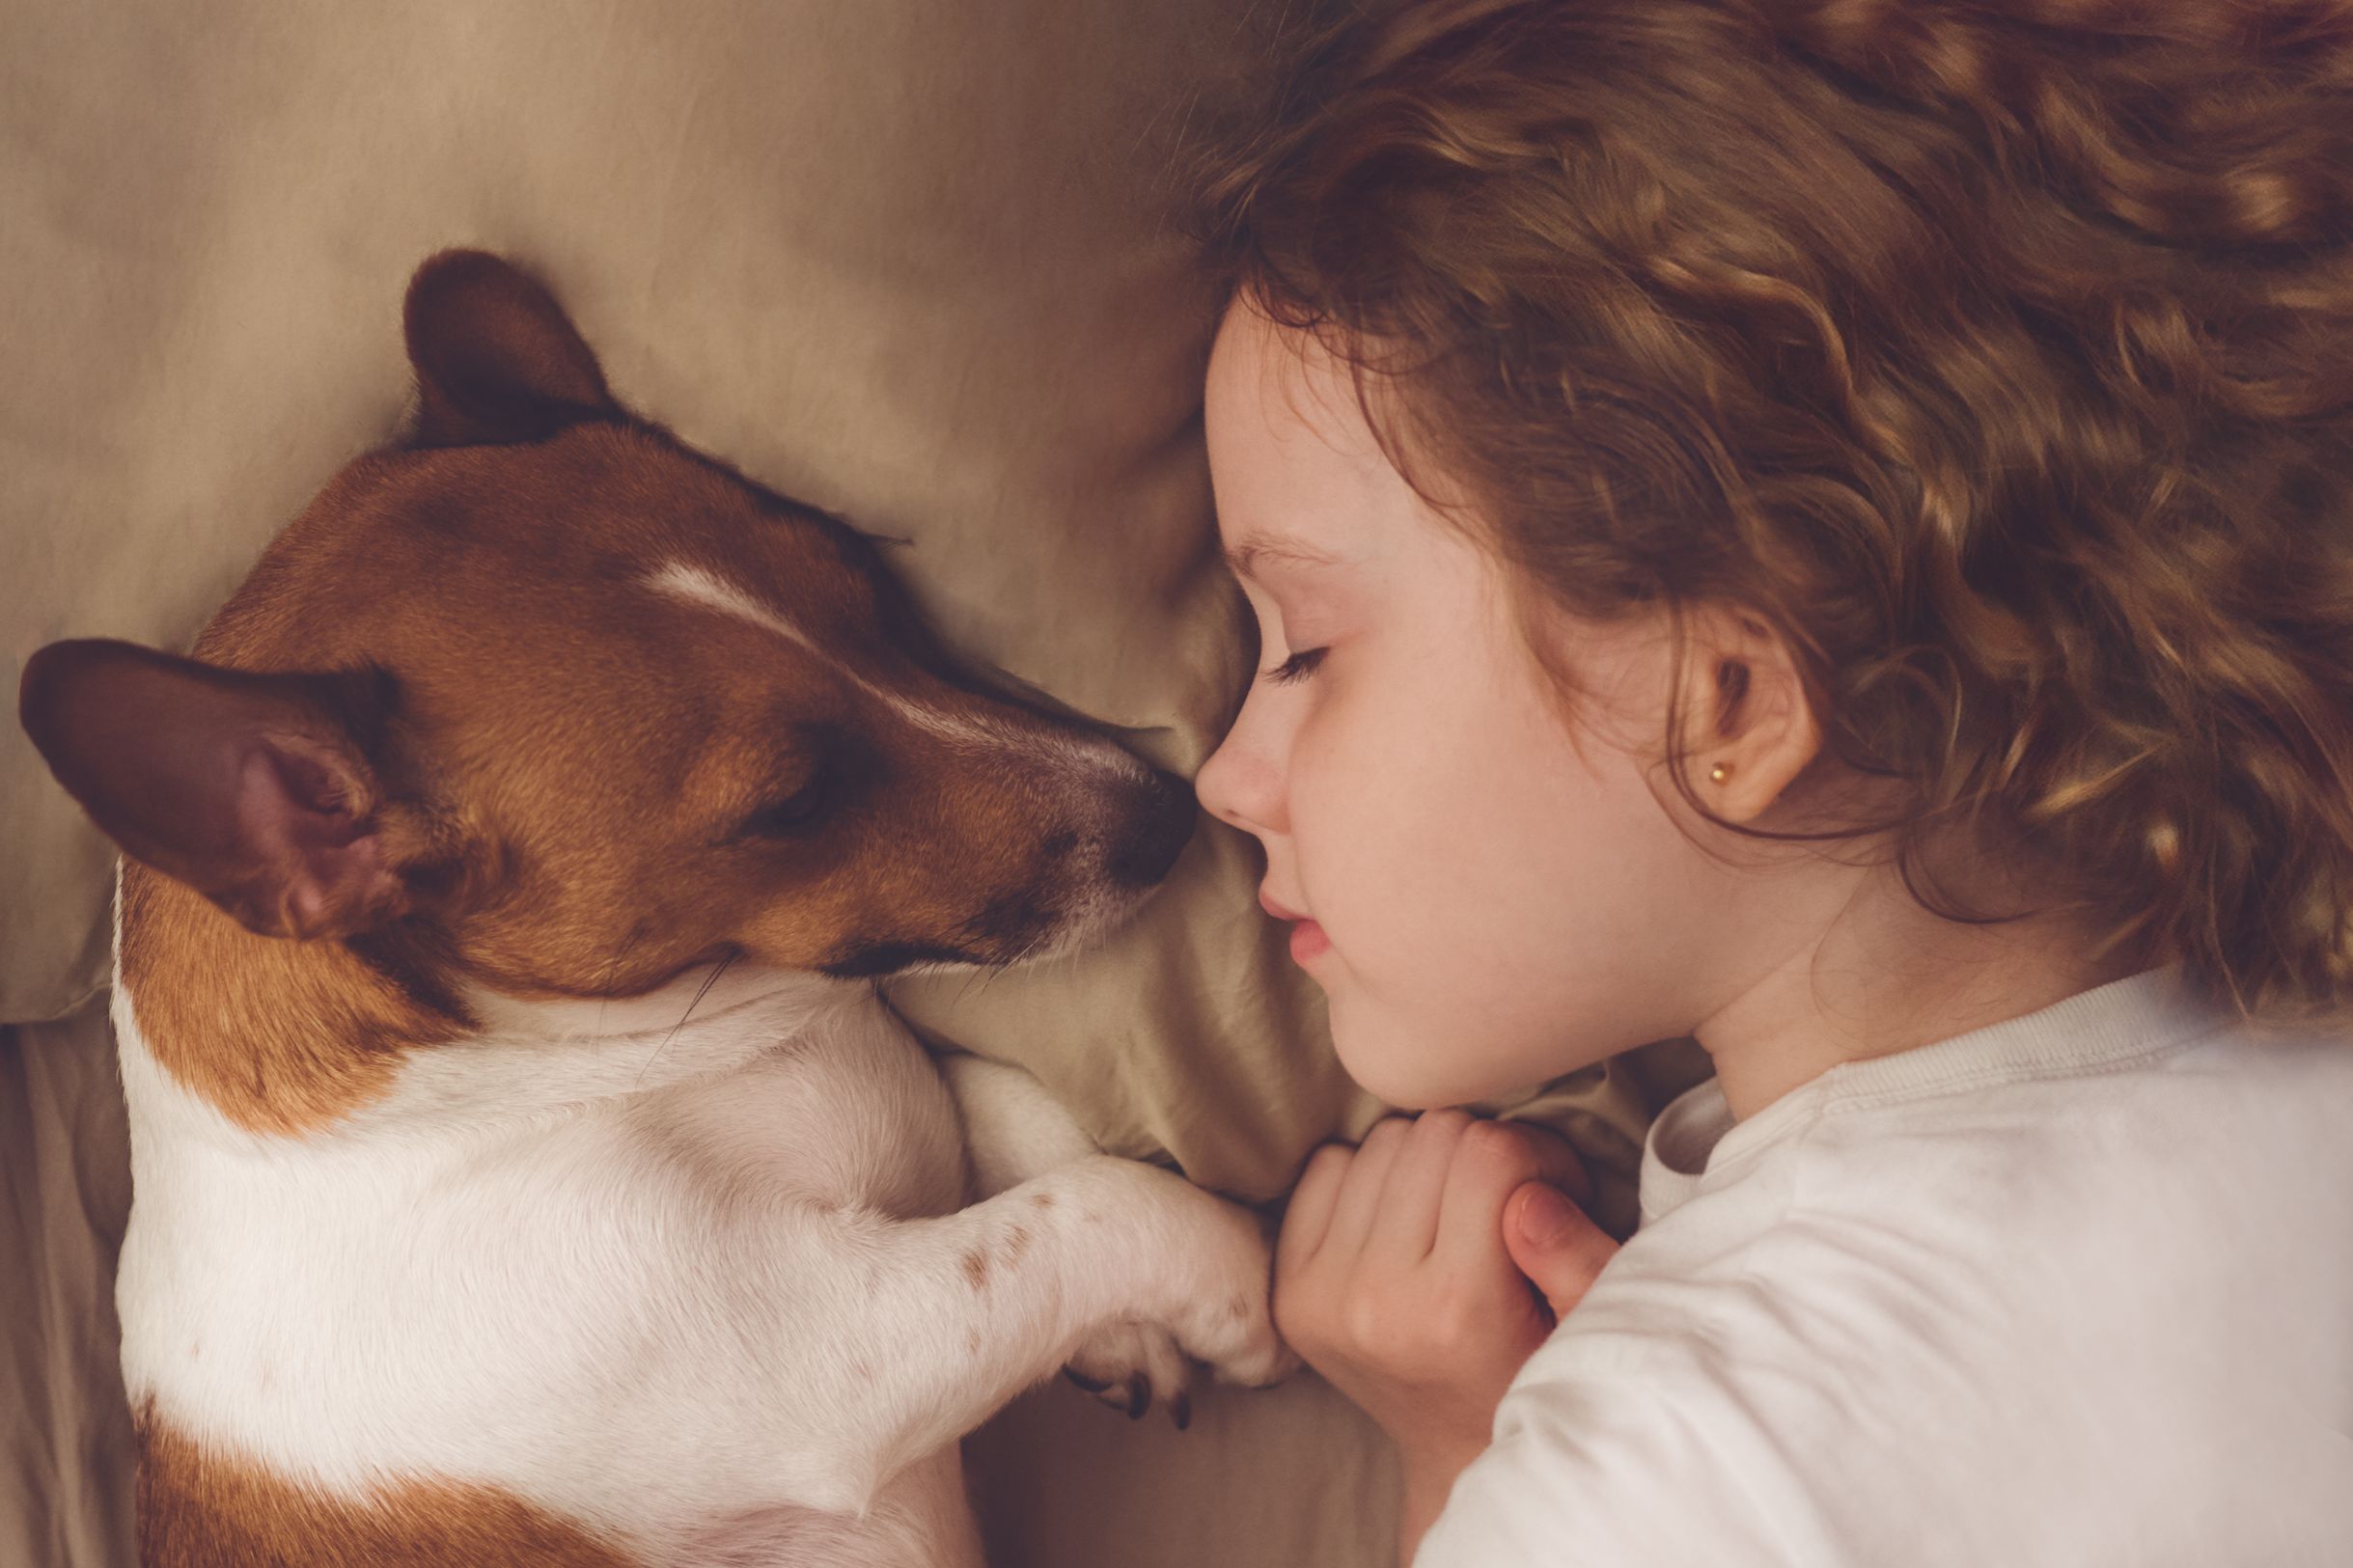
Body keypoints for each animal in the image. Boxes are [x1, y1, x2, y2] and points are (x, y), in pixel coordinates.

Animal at [18, 251, 1298, 1560]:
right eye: (793, 797)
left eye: (873, 596)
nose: (1170, 807)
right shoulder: (833, 1348)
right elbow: (1090, 1209)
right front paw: (1236, 1289)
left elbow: (1009, 1107)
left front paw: (1133, 1329)